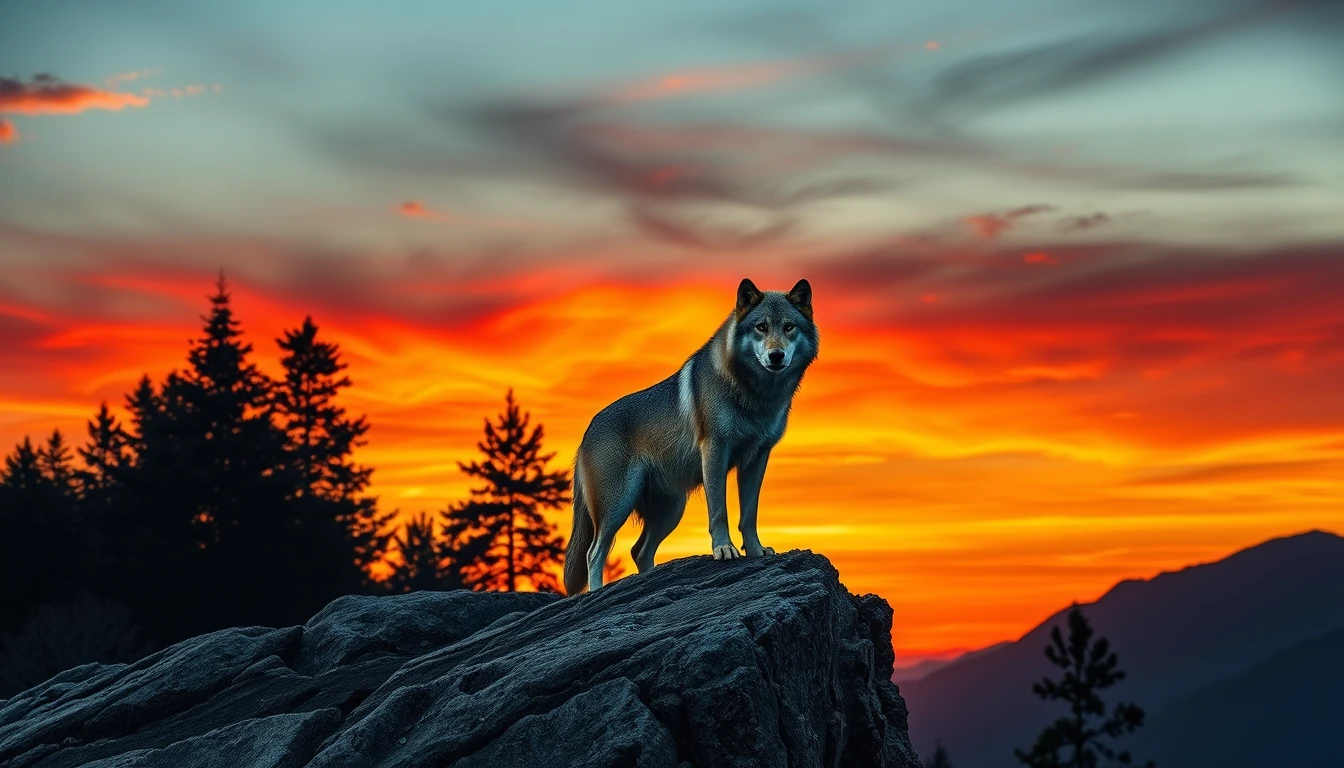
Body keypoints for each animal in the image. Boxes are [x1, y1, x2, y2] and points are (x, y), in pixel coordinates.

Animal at [563, 278, 819, 594]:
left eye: (788, 327)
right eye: (761, 327)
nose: (776, 356)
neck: (755, 395)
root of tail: (585, 434)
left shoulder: (757, 458)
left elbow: (749, 514)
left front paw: (756, 551)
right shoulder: (715, 450)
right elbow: (719, 510)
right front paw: (724, 549)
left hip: (671, 511)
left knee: (638, 551)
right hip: (617, 506)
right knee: (594, 552)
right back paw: (598, 592)